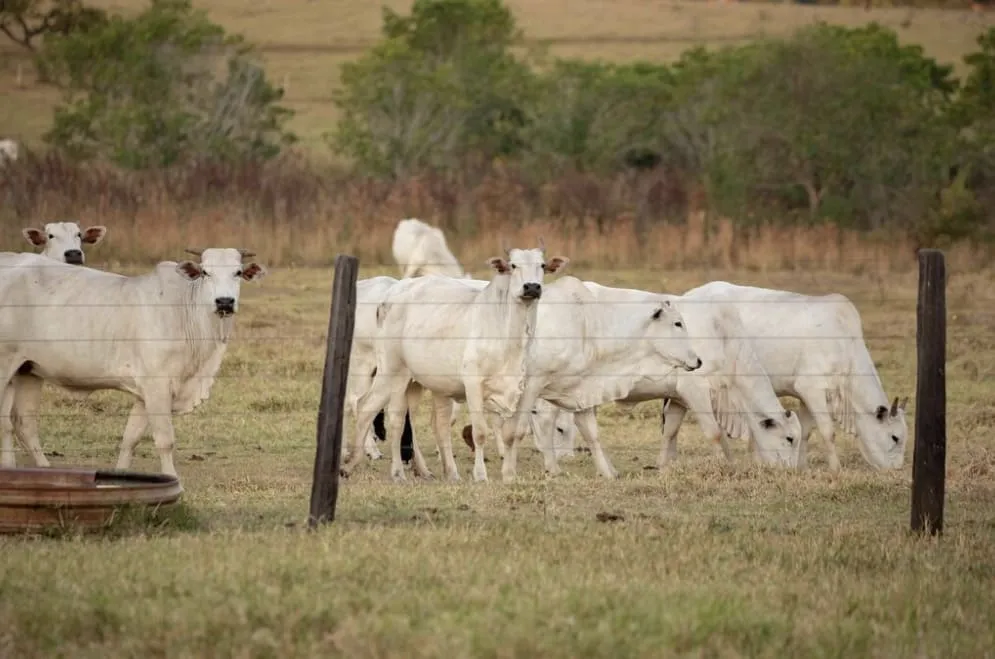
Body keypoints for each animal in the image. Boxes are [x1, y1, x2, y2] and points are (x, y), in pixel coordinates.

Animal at [0, 248, 266, 477]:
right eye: (205, 272)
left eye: (238, 272)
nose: (224, 302)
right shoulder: (158, 387)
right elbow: (165, 440)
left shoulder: (144, 394)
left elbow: (131, 438)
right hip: (5, 367)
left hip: (27, 371)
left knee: (22, 424)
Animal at [342, 242, 568, 482]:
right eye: (513, 265)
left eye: (542, 265)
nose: (532, 287)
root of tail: (388, 297)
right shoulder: (473, 384)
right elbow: (480, 432)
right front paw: (480, 475)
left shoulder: (522, 388)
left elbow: (513, 433)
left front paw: (509, 474)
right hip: (388, 371)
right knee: (368, 408)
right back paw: (372, 466)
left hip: (415, 382)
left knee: (413, 420)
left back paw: (436, 471)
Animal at [525, 281, 801, 473]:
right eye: (789, 438)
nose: (793, 472)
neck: (725, 339)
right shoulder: (696, 390)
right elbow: (714, 432)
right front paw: (728, 465)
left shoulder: (678, 398)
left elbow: (670, 431)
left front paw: (663, 466)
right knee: (546, 420)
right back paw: (552, 465)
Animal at [675, 281, 909, 471]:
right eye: (895, 437)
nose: (897, 469)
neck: (845, 344)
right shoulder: (812, 388)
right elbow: (828, 431)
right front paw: (836, 469)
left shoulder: (805, 396)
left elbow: (805, 433)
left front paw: (801, 467)